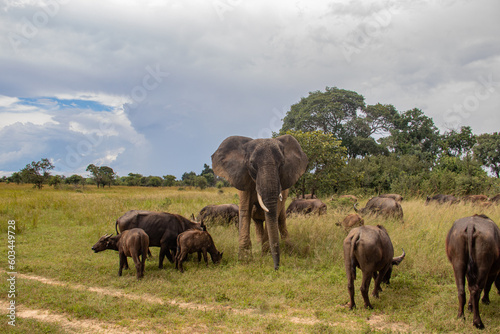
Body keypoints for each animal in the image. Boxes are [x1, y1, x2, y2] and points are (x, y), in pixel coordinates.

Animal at [210, 134, 306, 270]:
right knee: (258, 223)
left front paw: (265, 255)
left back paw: (288, 249)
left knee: (281, 219)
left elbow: (274, 212)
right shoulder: (244, 179)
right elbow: (245, 211)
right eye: (252, 164)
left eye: (282, 164)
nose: (276, 268)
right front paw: (245, 260)